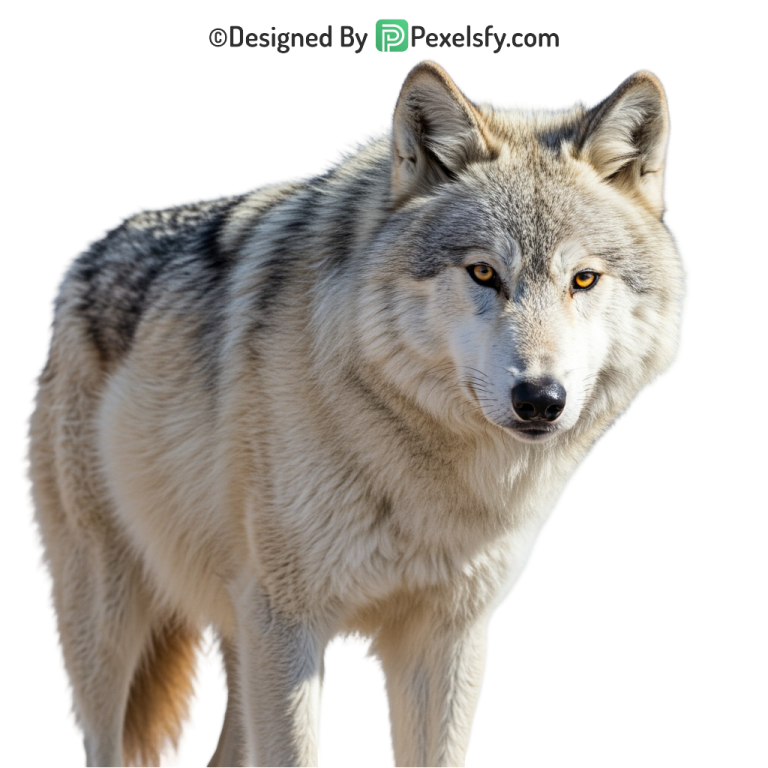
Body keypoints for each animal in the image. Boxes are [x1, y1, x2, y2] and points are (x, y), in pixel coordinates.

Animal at [22, 58, 690, 767]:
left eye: (583, 280)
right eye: (483, 273)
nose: (539, 399)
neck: (421, 475)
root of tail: (89, 250)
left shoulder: (445, 637)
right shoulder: (287, 624)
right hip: (112, 638)